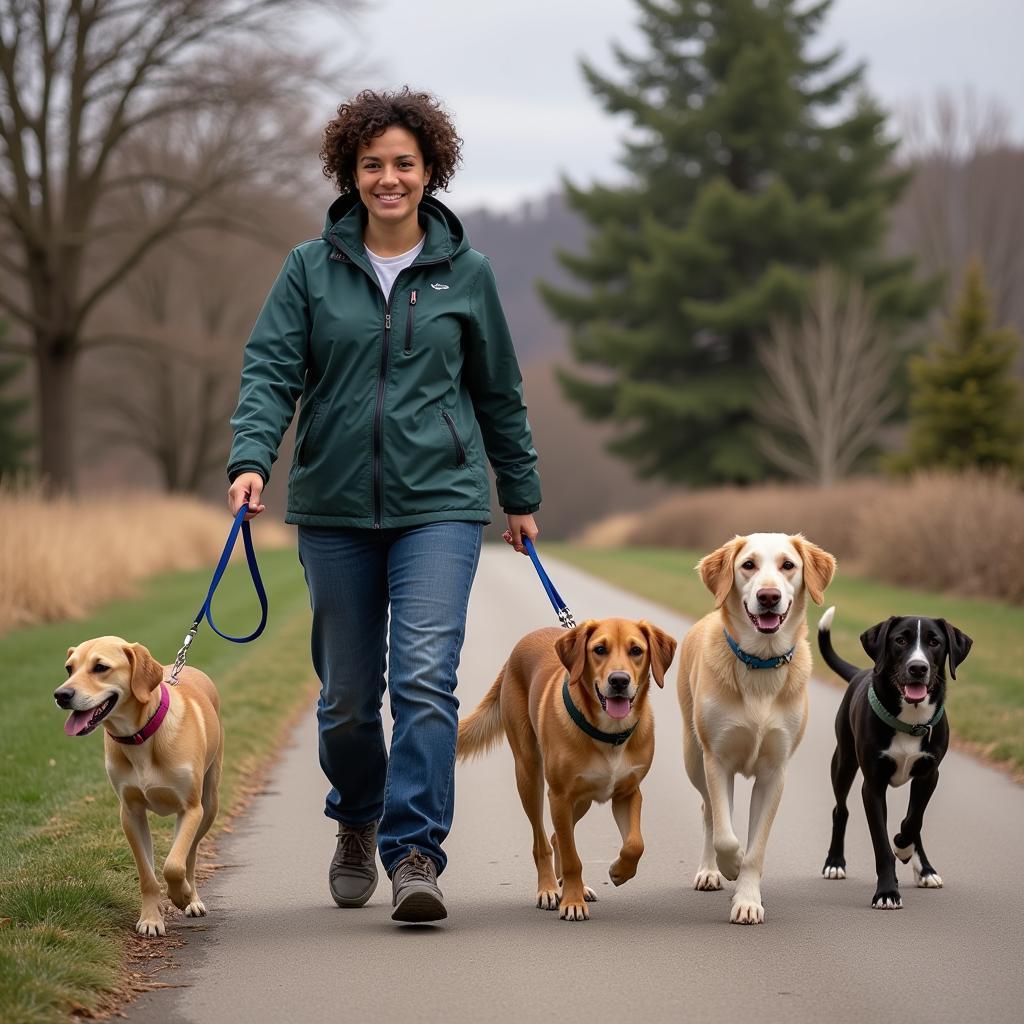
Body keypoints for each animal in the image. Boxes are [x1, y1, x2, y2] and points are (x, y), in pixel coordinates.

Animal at [54, 634, 224, 937]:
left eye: (100, 667)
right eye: (69, 668)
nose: (61, 695)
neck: (140, 737)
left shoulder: (190, 809)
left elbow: (174, 865)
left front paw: (180, 896)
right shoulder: (131, 813)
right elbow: (147, 874)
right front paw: (151, 919)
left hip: (208, 805)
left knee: (190, 855)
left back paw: (192, 898)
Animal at [456, 618, 671, 925]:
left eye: (636, 650)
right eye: (600, 649)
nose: (619, 681)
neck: (609, 734)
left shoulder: (628, 793)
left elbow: (635, 843)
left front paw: (619, 871)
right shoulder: (558, 796)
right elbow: (572, 858)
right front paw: (572, 902)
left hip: (582, 800)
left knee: (558, 836)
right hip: (530, 777)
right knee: (542, 841)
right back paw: (548, 889)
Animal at [679, 536, 831, 929]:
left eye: (788, 565)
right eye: (748, 565)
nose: (768, 596)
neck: (760, 665)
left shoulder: (774, 773)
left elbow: (756, 848)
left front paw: (747, 900)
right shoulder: (717, 760)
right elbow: (726, 835)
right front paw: (730, 865)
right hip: (693, 757)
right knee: (708, 811)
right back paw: (710, 870)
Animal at [819, 602, 970, 909]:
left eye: (935, 642)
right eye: (900, 640)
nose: (918, 668)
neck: (910, 720)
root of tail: (860, 672)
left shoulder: (929, 775)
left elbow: (913, 820)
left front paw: (904, 846)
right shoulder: (873, 786)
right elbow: (881, 844)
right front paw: (887, 891)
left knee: (914, 819)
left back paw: (924, 868)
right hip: (843, 762)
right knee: (840, 809)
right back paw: (835, 862)